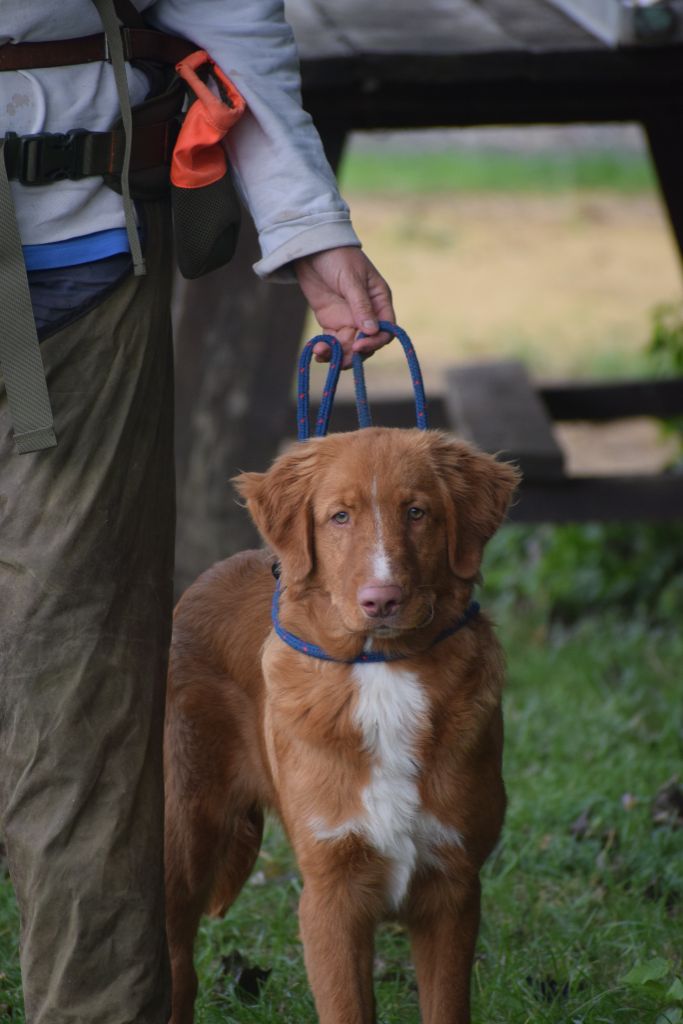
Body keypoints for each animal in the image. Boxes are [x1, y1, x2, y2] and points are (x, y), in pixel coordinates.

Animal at [165, 425, 518, 1024]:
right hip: (182, 843)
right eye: (339, 517)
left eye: (417, 512)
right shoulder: (331, 895)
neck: (381, 668)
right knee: (178, 970)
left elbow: (445, 1006)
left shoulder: (453, 887)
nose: (382, 600)